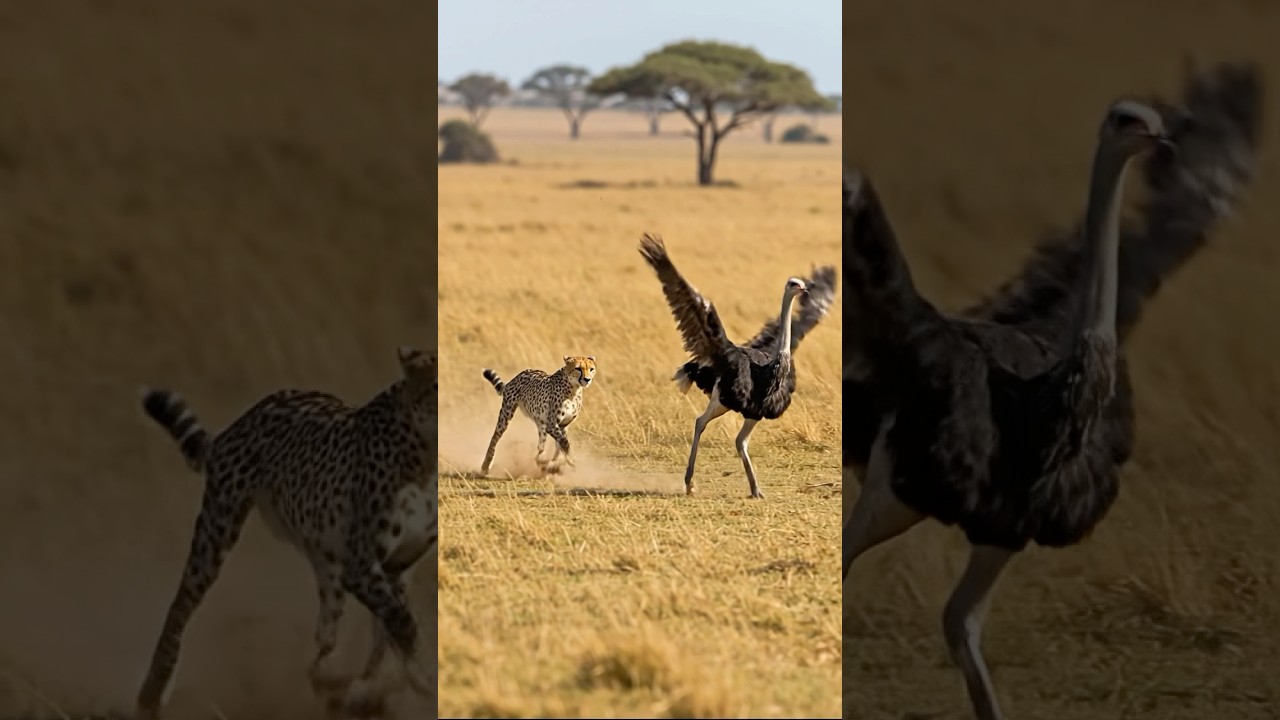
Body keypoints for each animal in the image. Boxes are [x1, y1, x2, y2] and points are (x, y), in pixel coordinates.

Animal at [134, 346, 438, 720]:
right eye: (436, 386)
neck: (423, 458)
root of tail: (253, 412)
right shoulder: (362, 566)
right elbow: (402, 623)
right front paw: (419, 678)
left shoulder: (396, 566)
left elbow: (389, 633)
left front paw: (376, 686)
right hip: (218, 527)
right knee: (182, 604)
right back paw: (152, 691)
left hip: (325, 561)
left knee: (325, 637)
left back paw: (330, 682)